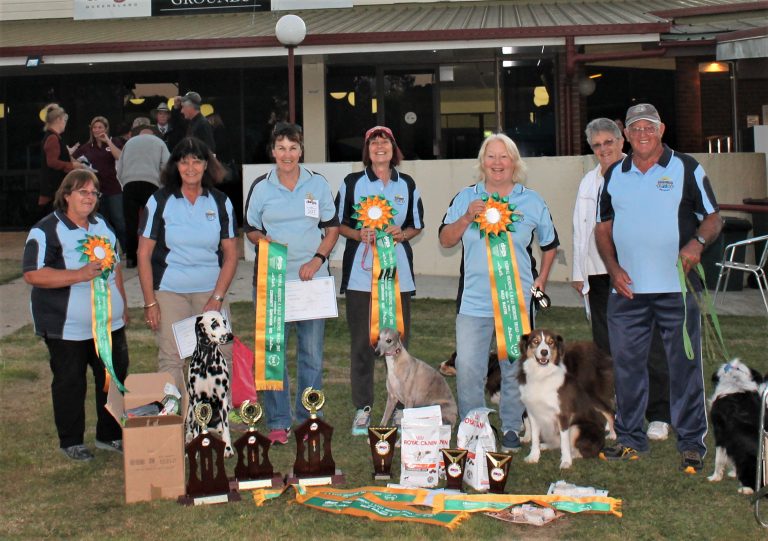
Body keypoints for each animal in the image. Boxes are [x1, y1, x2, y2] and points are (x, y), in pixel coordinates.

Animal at [186, 310, 234, 458]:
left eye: (224, 322)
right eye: (214, 324)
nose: (230, 336)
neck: (207, 361)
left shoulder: (222, 399)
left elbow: (226, 428)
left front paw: (228, 448)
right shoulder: (196, 400)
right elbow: (196, 430)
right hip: (190, 410)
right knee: (190, 429)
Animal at [512, 330, 616, 468]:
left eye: (551, 342)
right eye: (535, 341)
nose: (544, 352)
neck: (541, 375)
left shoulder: (563, 414)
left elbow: (565, 441)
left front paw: (566, 461)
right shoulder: (533, 412)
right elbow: (534, 436)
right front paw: (533, 456)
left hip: (579, 425)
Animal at [708, 358, 760, 494]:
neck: (736, 381)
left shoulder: (720, 434)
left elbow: (719, 460)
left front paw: (714, 477)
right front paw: (733, 473)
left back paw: (744, 489)